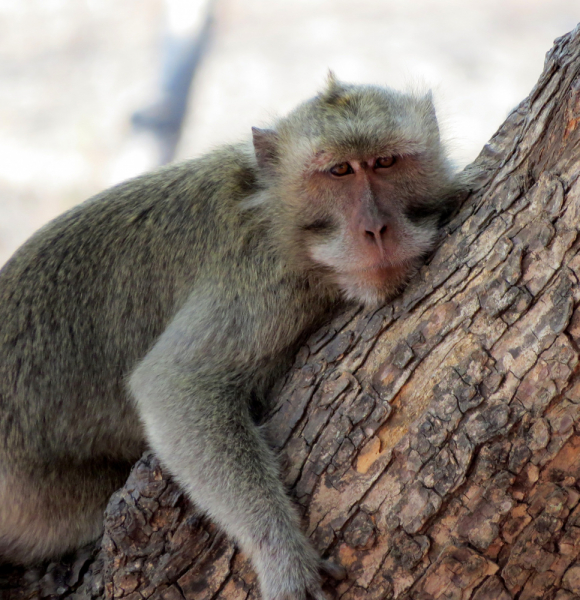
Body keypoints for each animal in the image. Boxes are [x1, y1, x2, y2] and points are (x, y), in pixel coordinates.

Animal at [0, 76, 462, 600]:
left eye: (385, 163)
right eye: (340, 171)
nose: (376, 229)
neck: (284, 226)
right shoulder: (262, 283)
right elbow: (174, 384)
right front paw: (282, 555)